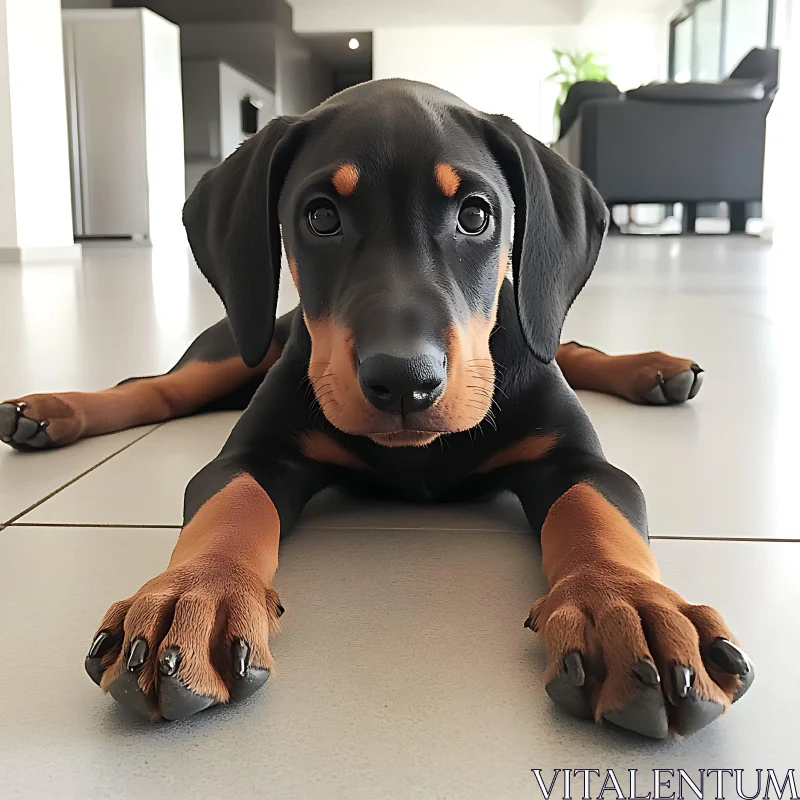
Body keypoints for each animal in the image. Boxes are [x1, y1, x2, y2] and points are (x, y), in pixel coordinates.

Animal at [1, 81, 752, 736]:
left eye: (476, 215)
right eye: (320, 217)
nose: (403, 381)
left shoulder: (577, 460)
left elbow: (595, 515)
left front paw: (627, 607)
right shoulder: (254, 454)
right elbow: (229, 507)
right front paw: (194, 596)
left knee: (568, 341)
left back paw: (654, 370)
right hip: (247, 344)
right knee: (157, 384)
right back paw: (47, 411)